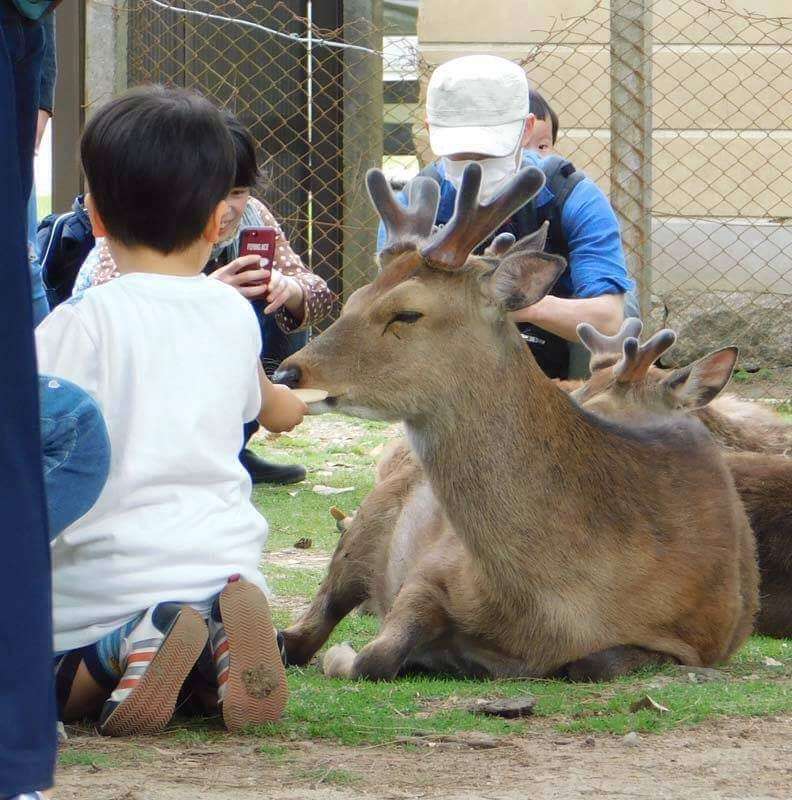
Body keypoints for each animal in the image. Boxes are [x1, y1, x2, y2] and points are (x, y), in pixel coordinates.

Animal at [276, 164, 756, 680]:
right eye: (353, 299)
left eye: (407, 312)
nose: (287, 372)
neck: (546, 601)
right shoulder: (433, 568)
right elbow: (375, 655)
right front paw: (350, 654)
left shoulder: (697, 642)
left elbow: (594, 662)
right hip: (369, 518)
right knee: (311, 619)